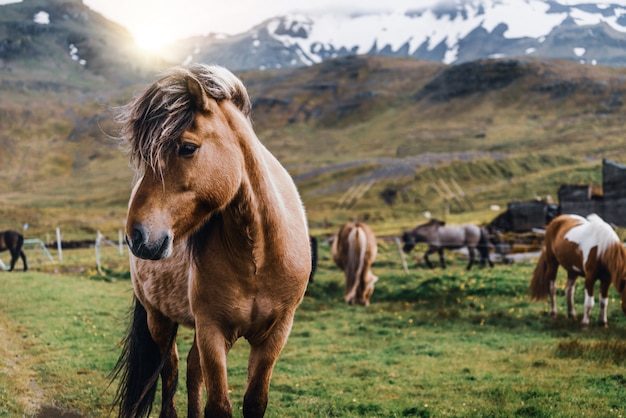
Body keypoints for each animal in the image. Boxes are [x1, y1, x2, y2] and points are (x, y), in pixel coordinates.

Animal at [111, 63, 310, 416]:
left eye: (187, 147)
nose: (137, 236)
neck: (258, 257)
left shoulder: (275, 334)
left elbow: (254, 401)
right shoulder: (212, 330)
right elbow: (218, 405)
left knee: (191, 369)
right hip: (158, 318)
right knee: (171, 370)